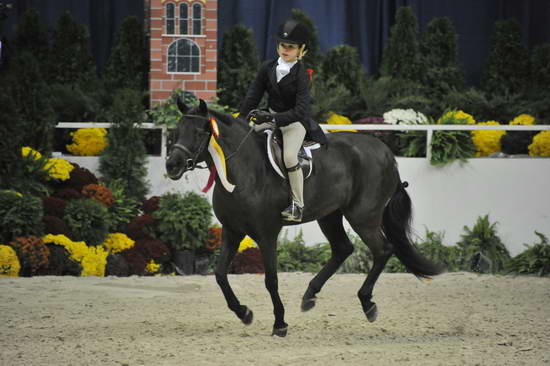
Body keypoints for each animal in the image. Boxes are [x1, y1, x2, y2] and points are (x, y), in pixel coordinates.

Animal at [167, 99, 444, 338]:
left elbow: (271, 279)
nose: (172, 166)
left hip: (363, 216)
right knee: (343, 248)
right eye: (175, 131)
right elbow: (220, 275)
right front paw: (244, 313)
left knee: (383, 249)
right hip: (330, 215)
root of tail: (387, 154)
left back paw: (367, 303)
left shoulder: (267, 234)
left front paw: (279, 323)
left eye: (198, 133)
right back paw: (310, 295)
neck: (243, 171)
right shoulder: (232, 231)